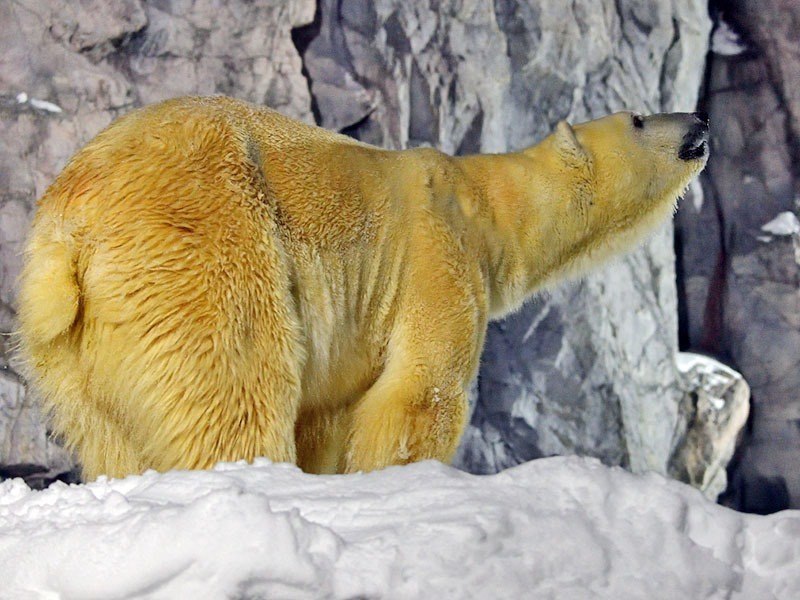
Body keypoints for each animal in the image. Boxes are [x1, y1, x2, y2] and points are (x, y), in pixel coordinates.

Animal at [15, 97, 708, 478]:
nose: (700, 120)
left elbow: (328, 415)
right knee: (237, 381)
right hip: (208, 235)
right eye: (639, 117)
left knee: (108, 433)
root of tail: (68, 225)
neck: (486, 205)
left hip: (69, 348)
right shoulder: (438, 252)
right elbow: (422, 390)